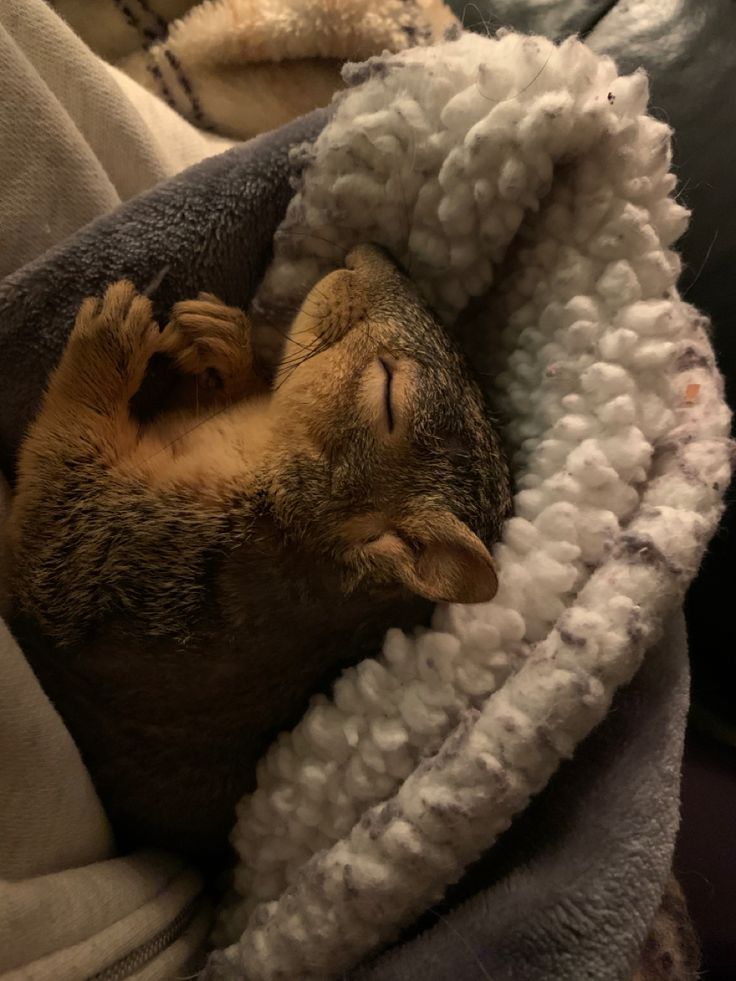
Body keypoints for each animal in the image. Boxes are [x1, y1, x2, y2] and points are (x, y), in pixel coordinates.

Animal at [5, 243, 512, 856]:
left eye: (389, 397)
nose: (372, 254)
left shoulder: (143, 556)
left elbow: (56, 501)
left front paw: (108, 343)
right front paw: (221, 345)